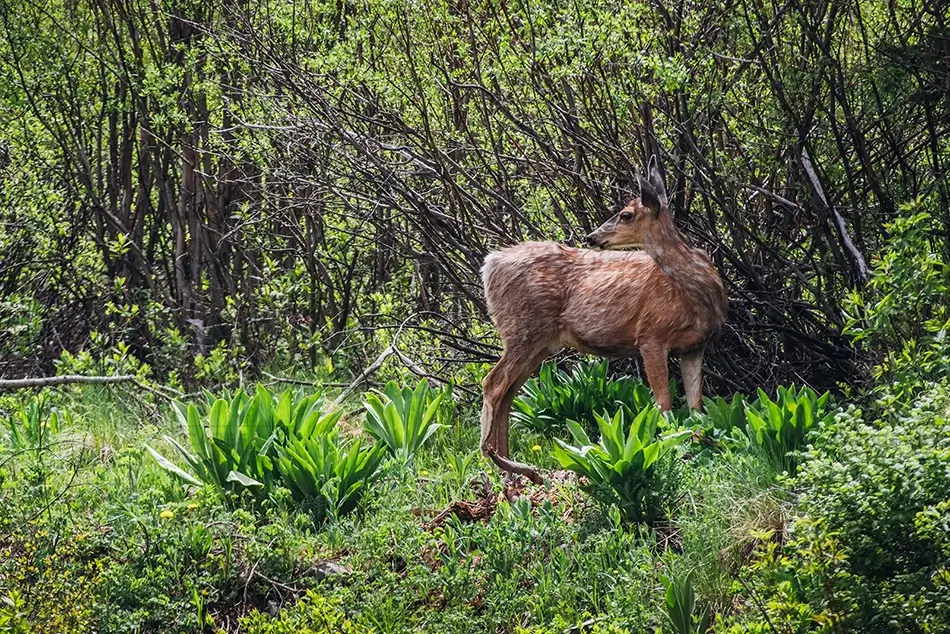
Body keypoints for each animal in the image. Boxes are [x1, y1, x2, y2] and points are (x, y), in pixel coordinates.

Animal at [479, 157, 727, 482]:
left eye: (626, 214)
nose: (592, 237)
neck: (697, 296)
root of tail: (489, 265)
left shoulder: (695, 346)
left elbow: (696, 406)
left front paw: (696, 445)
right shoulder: (650, 335)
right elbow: (663, 404)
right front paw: (671, 449)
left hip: (539, 343)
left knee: (508, 392)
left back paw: (509, 469)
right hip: (522, 329)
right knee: (492, 383)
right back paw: (502, 464)